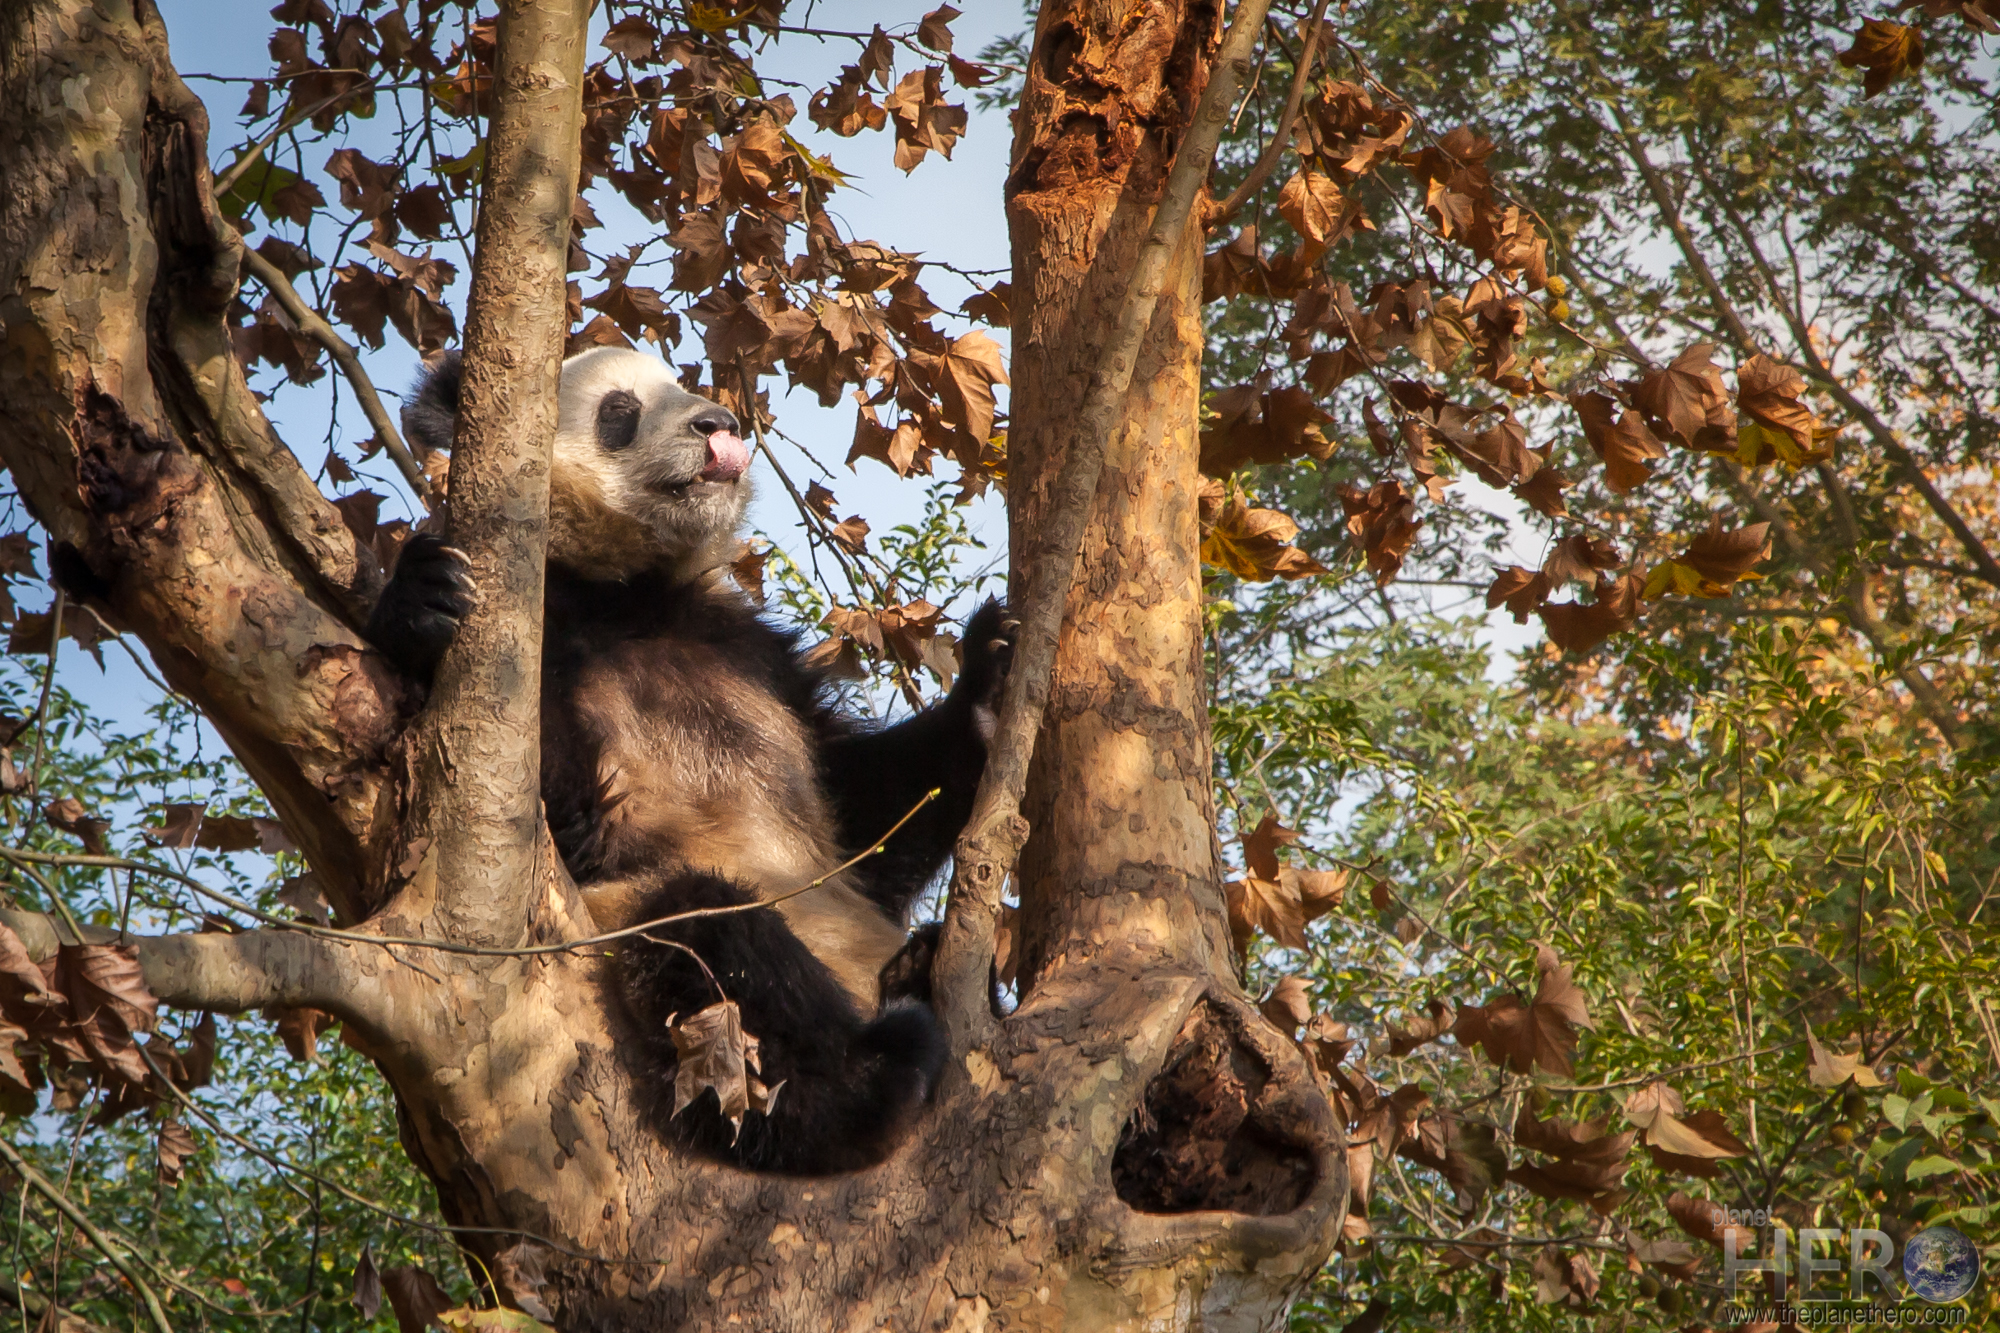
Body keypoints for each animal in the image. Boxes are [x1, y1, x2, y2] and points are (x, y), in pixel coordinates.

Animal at [368, 344, 1008, 1176]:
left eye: (682, 382)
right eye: (619, 410)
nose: (719, 423)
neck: (634, 589)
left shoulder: (752, 654)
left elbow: (865, 819)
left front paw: (989, 674)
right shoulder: (551, 626)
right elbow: (547, 804)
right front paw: (423, 600)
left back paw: (923, 969)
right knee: (710, 944)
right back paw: (875, 1074)